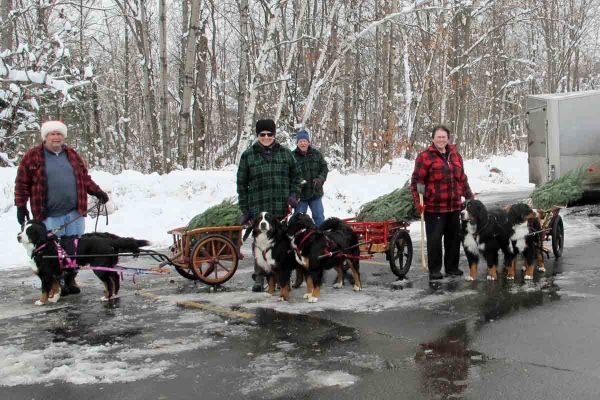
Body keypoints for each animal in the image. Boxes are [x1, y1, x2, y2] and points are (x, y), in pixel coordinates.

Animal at [18, 219, 149, 304]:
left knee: (108, 282)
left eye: (29, 232)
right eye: (22, 229)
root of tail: (109, 241)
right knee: (115, 277)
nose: (18, 236)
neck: (42, 246)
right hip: (107, 265)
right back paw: (115, 294)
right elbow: (55, 287)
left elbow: (45, 290)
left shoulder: (46, 274)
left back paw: (107, 297)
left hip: (99, 267)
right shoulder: (54, 273)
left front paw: (41, 301)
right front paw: (54, 298)